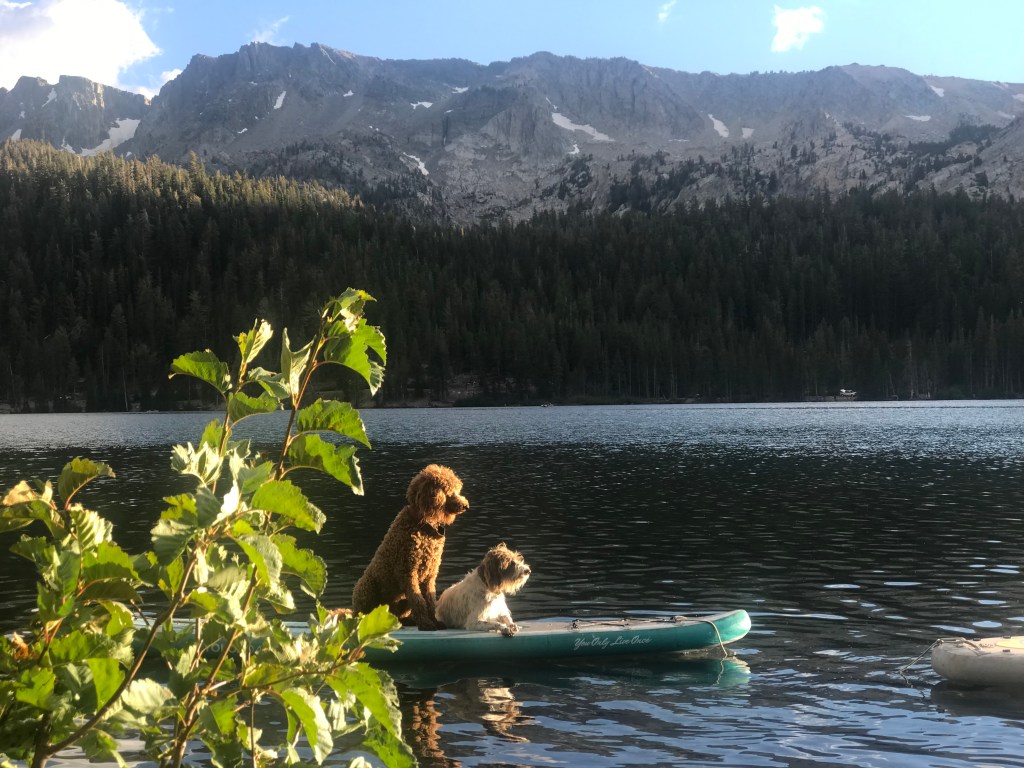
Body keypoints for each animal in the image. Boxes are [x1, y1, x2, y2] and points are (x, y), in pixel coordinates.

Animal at [351, 464, 469, 630]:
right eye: (450, 491)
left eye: (458, 489)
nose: (466, 506)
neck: (422, 525)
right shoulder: (408, 573)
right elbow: (418, 601)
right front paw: (426, 624)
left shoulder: (429, 576)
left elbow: (430, 601)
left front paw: (435, 621)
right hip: (365, 589)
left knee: (398, 617)